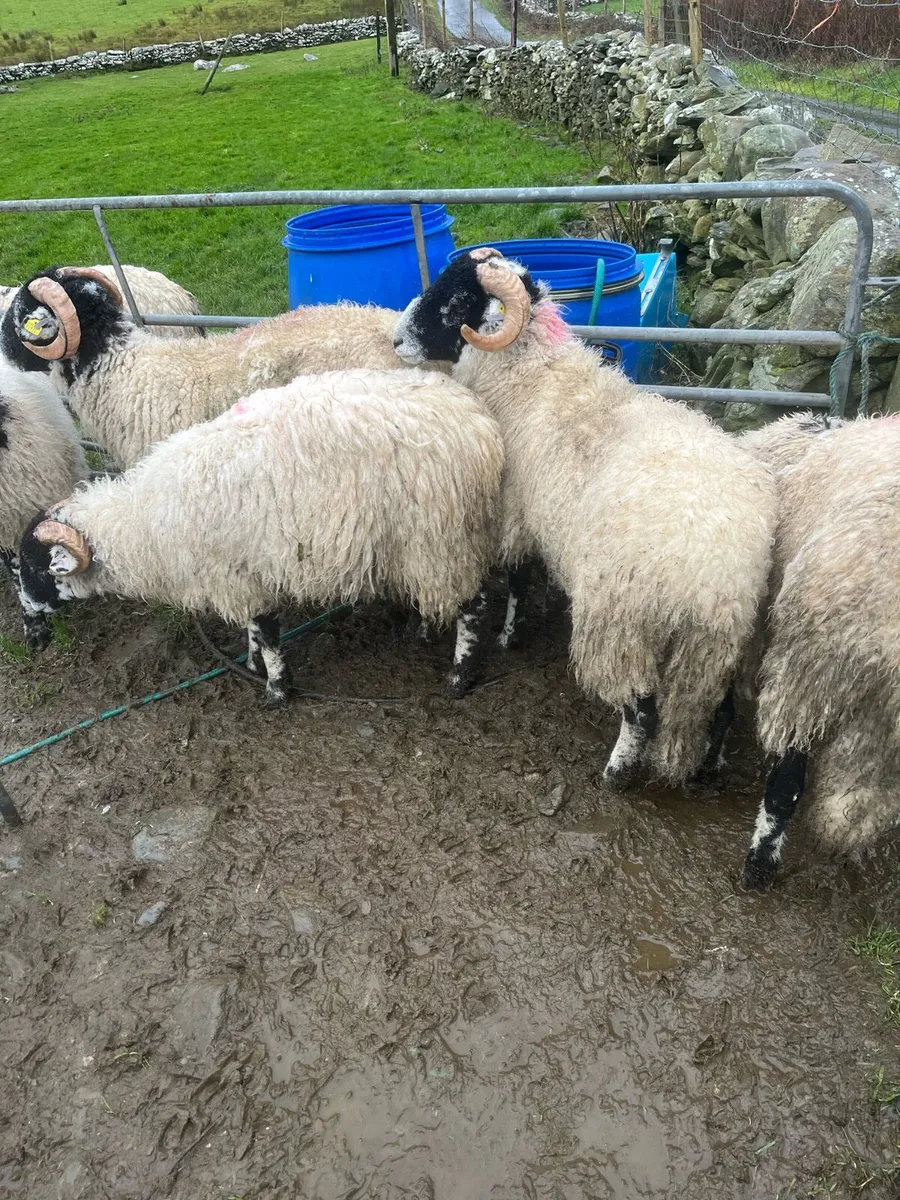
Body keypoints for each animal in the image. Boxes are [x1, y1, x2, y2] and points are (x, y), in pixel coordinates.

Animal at [16, 368, 504, 706]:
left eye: (38, 570)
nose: (26, 623)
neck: (146, 522)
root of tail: (479, 423)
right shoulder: (244, 572)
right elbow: (255, 631)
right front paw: (251, 662)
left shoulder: (239, 574)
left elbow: (267, 634)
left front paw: (276, 691)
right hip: (435, 543)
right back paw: (424, 630)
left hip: (443, 536)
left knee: (475, 605)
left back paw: (459, 678)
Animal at [393, 248, 777, 783]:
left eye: (455, 302)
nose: (395, 340)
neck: (532, 377)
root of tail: (718, 573)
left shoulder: (519, 509)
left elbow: (518, 574)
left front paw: (509, 635)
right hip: (723, 646)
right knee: (720, 707)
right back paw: (707, 767)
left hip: (623, 623)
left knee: (641, 708)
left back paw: (616, 772)